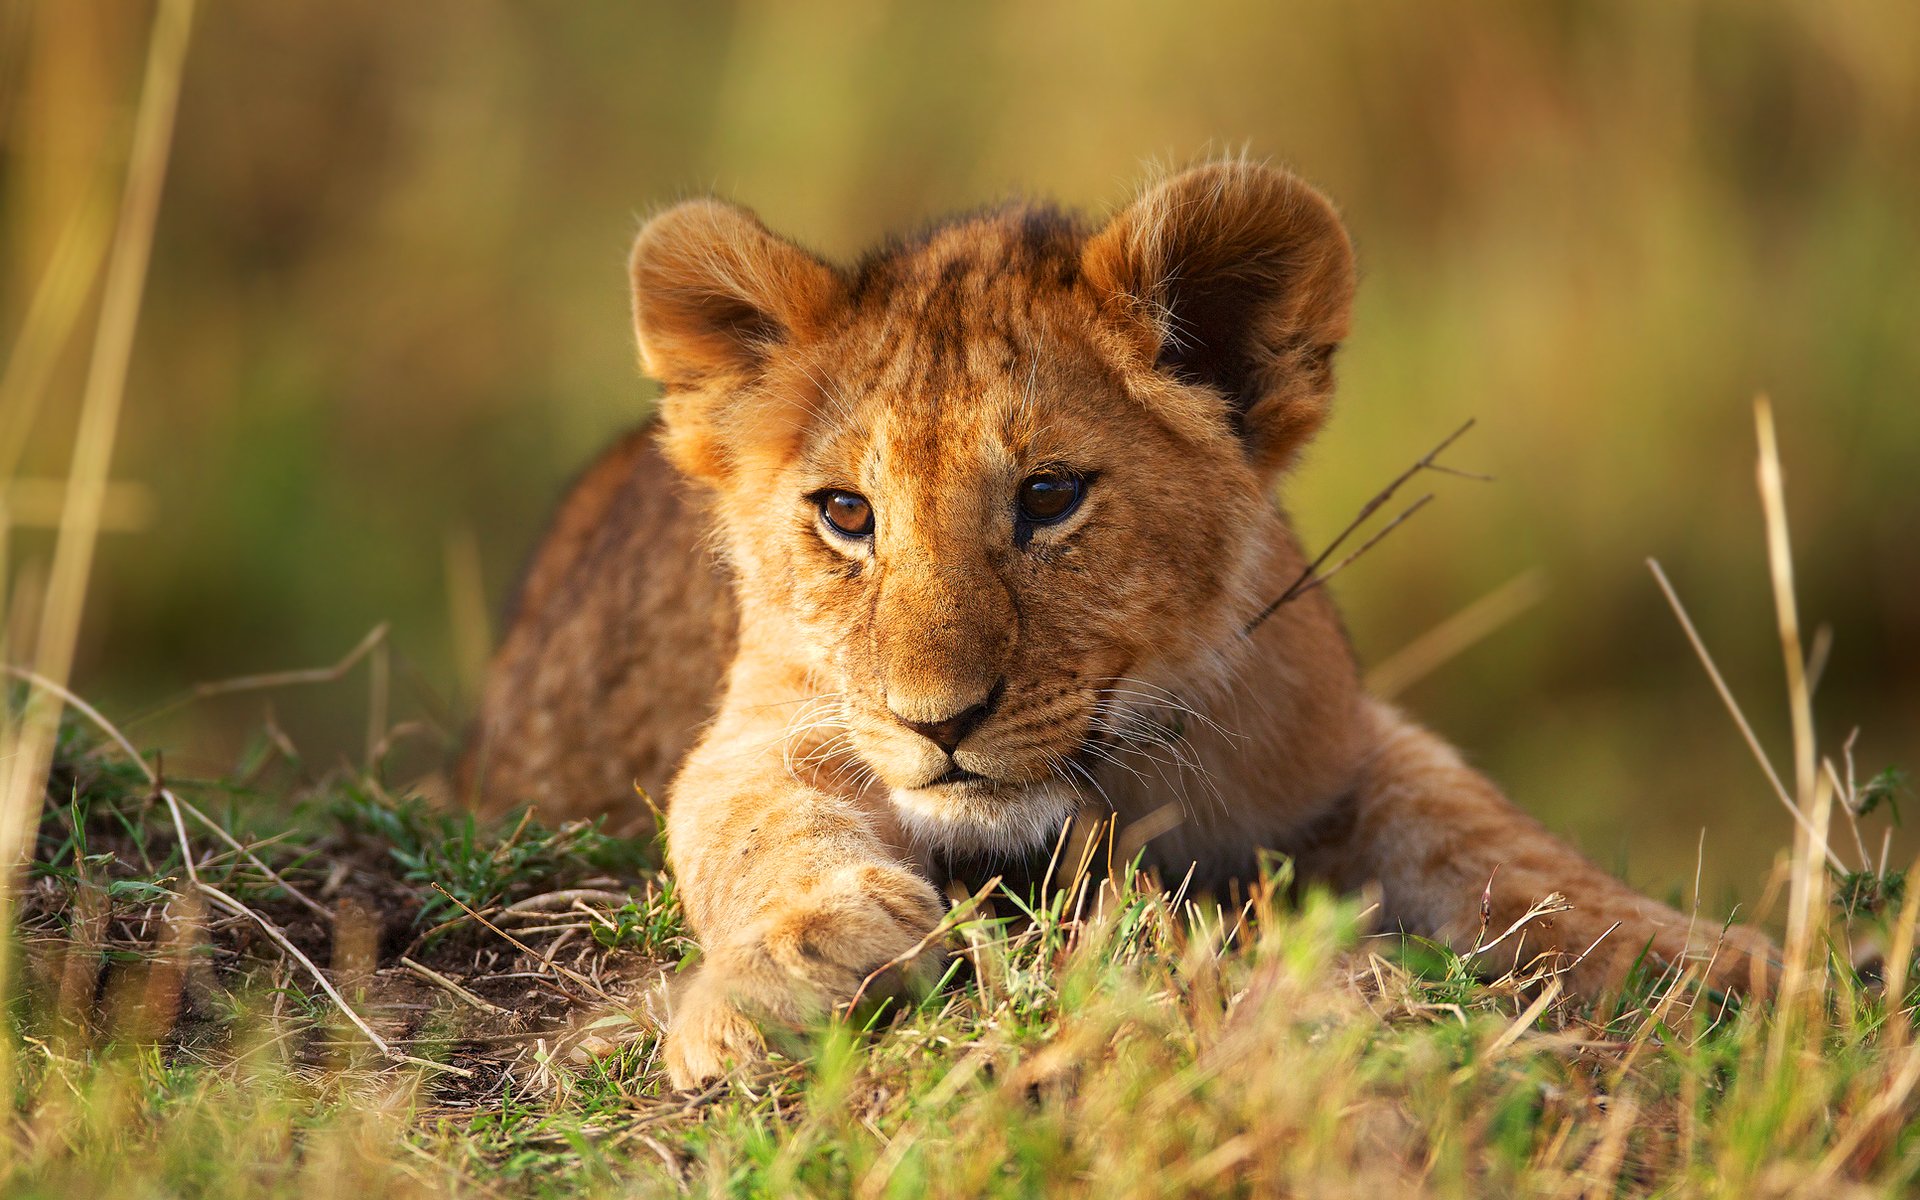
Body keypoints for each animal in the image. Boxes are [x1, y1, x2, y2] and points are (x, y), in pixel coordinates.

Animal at [463, 159, 1776, 1088]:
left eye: (1050, 497)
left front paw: (1722, 961)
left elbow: (1501, 843)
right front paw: (780, 975)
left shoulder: (1340, 744)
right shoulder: (768, 719)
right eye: (845, 514)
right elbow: (755, 823)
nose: (939, 723)